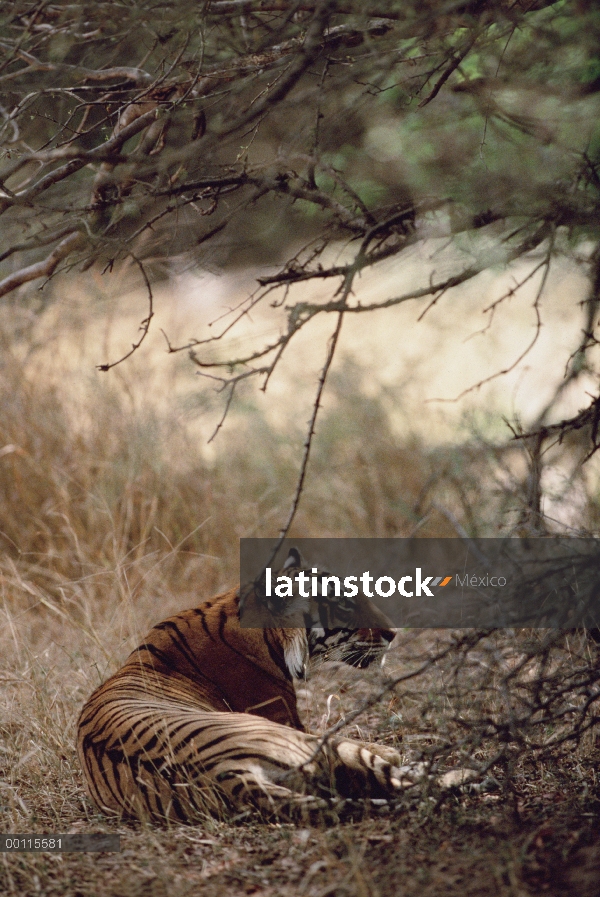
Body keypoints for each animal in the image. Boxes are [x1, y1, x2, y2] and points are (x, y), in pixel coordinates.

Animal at [76, 544, 422, 824]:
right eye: (344, 605)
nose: (393, 633)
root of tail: (226, 774)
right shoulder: (290, 721)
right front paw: (390, 748)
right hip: (303, 742)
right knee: (400, 778)